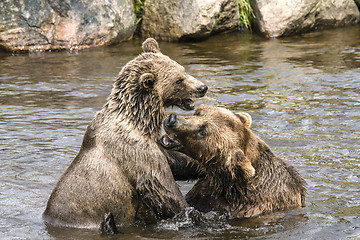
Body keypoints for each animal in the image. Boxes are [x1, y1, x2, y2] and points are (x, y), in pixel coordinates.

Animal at [43, 37, 208, 229]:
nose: (202, 87)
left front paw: (203, 166)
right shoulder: (136, 153)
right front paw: (193, 213)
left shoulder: (153, 145)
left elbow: (176, 161)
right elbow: (162, 188)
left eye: (183, 70)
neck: (141, 122)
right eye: (179, 80)